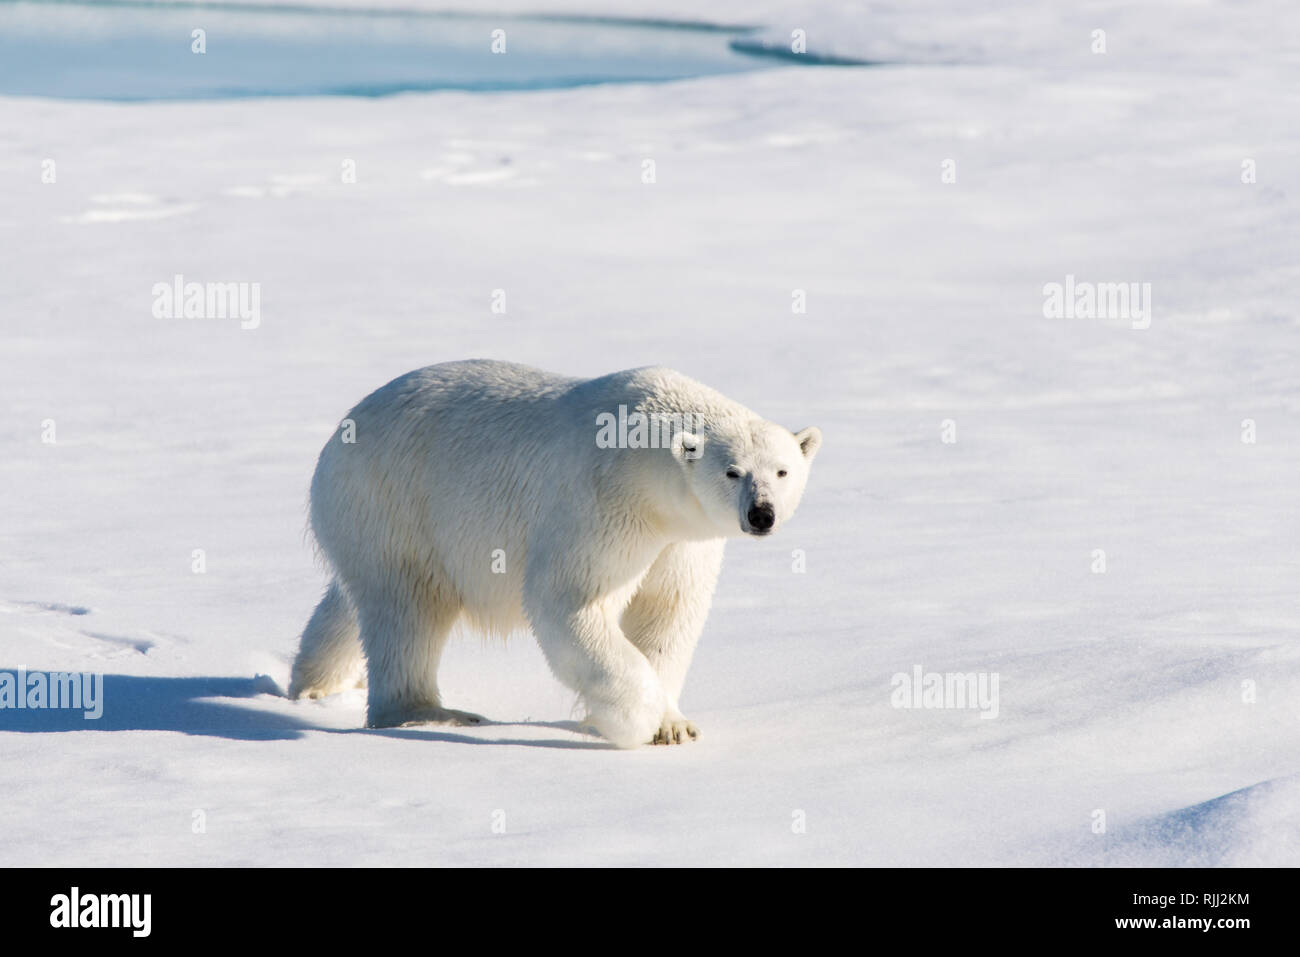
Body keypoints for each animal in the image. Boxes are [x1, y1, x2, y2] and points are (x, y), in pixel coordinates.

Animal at [292, 361, 821, 748]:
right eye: (732, 471)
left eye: (781, 471)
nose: (761, 514)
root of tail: (340, 434)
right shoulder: (606, 502)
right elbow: (572, 601)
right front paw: (637, 721)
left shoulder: (681, 540)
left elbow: (666, 612)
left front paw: (675, 726)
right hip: (395, 498)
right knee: (408, 608)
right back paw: (434, 713)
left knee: (352, 598)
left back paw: (313, 682)